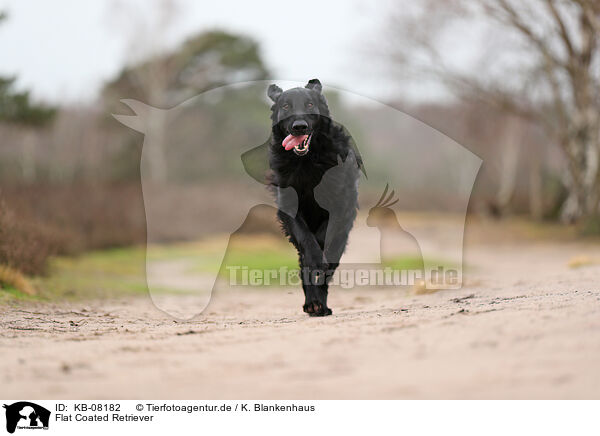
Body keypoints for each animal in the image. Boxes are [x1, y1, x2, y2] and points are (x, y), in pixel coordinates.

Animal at [268, 79, 364, 316]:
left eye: (310, 104)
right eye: (286, 106)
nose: (299, 126)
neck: (308, 161)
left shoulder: (340, 206)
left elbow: (324, 236)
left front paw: (321, 255)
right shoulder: (289, 207)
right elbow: (307, 240)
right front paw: (315, 258)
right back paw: (314, 303)